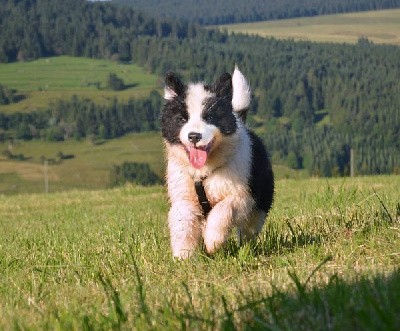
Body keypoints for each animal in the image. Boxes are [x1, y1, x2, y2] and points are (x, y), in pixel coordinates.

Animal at [161, 65, 274, 260]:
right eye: (182, 119)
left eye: (210, 117)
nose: (194, 136)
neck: (204, 171)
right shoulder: (184, 198)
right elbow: (183, 223)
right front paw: (183, 257)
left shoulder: (242, 195)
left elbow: (223, 209)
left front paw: (213, 241)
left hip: (260, 201)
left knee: (250, 228)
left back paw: (245, 249)